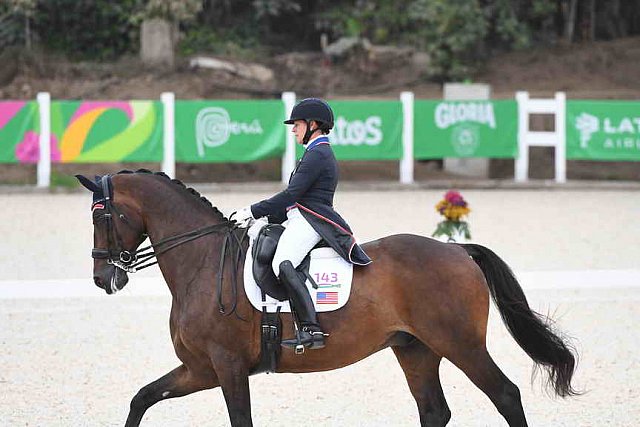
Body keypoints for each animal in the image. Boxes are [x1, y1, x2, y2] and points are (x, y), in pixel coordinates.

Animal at [76, 171, 580, 427]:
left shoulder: (228, 366)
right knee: (434, 410)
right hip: (415, 349)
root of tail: (458, 249)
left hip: (461, 344)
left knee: (506, 395)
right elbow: (141, 399)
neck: (200, 261)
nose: (103, 278)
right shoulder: (201, 368)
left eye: (103, 217)